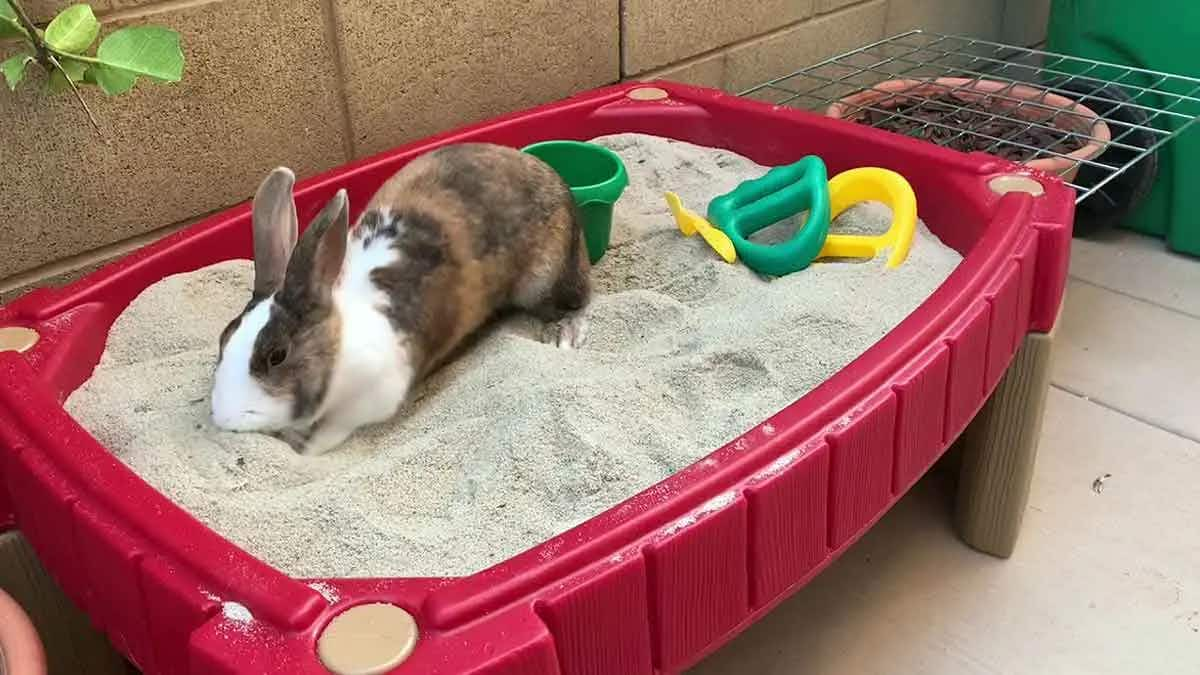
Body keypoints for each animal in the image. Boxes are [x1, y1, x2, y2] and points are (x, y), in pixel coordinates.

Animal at [212, 144, 595, 454]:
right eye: (223, 338)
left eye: (277, 355)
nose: (223, 418)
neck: (340, 348)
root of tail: (542, 168)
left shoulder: (374, 397)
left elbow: (334, 432)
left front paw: (305, 445)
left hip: (546, 277)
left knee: (577, 300)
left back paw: (562, 333)